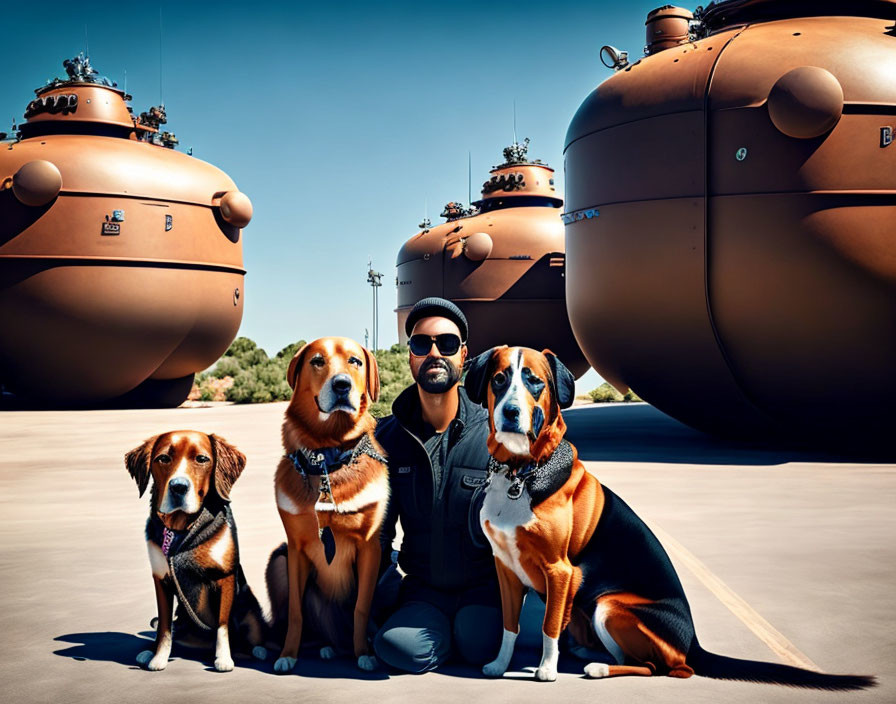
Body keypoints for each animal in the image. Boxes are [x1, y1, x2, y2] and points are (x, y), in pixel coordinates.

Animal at [125, 428, 266, 672]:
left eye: (201, 459)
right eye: (163, 458)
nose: (178, 487)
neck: (181, 529)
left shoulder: (225, 578)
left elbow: (222, 625)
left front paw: (223, 659)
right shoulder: (161, 580)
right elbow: (163, 627)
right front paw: (158, 657)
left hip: (249, 607)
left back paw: (257, 651)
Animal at [270, 338, 388, 672]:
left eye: (355, 361)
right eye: (317, 361)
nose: (341, 385)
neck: (327, 457)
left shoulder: (370, 547)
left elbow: (361, 609)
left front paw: (364, 654)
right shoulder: (295, 548)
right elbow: (295, 612)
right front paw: (288, 655)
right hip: (278, 562)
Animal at [462, 350, 876, 692]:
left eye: (535, 381)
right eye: (499, 379)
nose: (511, 412)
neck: (520, 472)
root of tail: (691, 641)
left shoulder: (560, 571)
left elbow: (547, 625)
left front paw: (546, 669)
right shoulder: (505, 568)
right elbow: (510, 625)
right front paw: (499, 665)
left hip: (609, 606)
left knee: (666, 668)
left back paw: (598, 667)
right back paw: (586, 654)